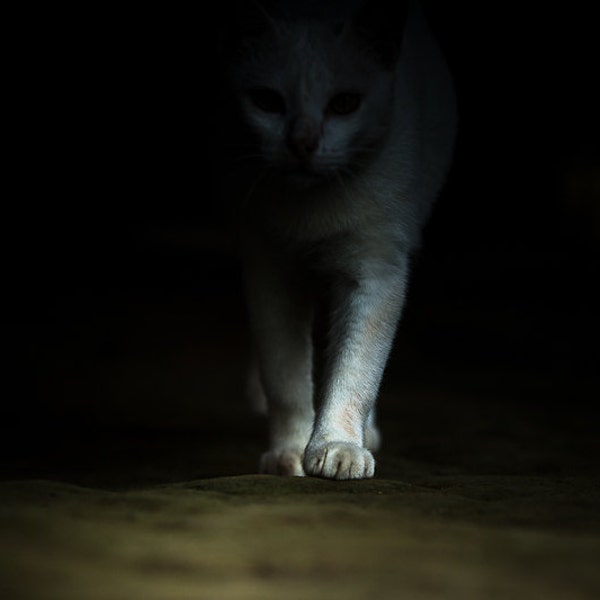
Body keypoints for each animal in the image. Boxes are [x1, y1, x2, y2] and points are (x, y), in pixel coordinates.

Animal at [218, 0, 458, 478]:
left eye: (345, 104)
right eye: (267, 101)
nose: (303, 143)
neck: (312, 212)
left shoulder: (377, 269)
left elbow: (356, 368)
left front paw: (338, 445)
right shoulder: (268, 265)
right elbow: (285, 374)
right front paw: (290, 452)